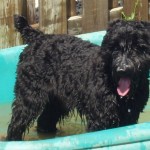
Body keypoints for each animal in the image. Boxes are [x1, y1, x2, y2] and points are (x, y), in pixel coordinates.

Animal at [6, 14, 150, 140]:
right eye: (114, 47)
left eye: (138, 47)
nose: (122, 70)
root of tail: (38, 37)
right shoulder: (100, 118)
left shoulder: (130, 115)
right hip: (28, 98)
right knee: (15, 125)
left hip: (56, 102)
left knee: (44, 121)